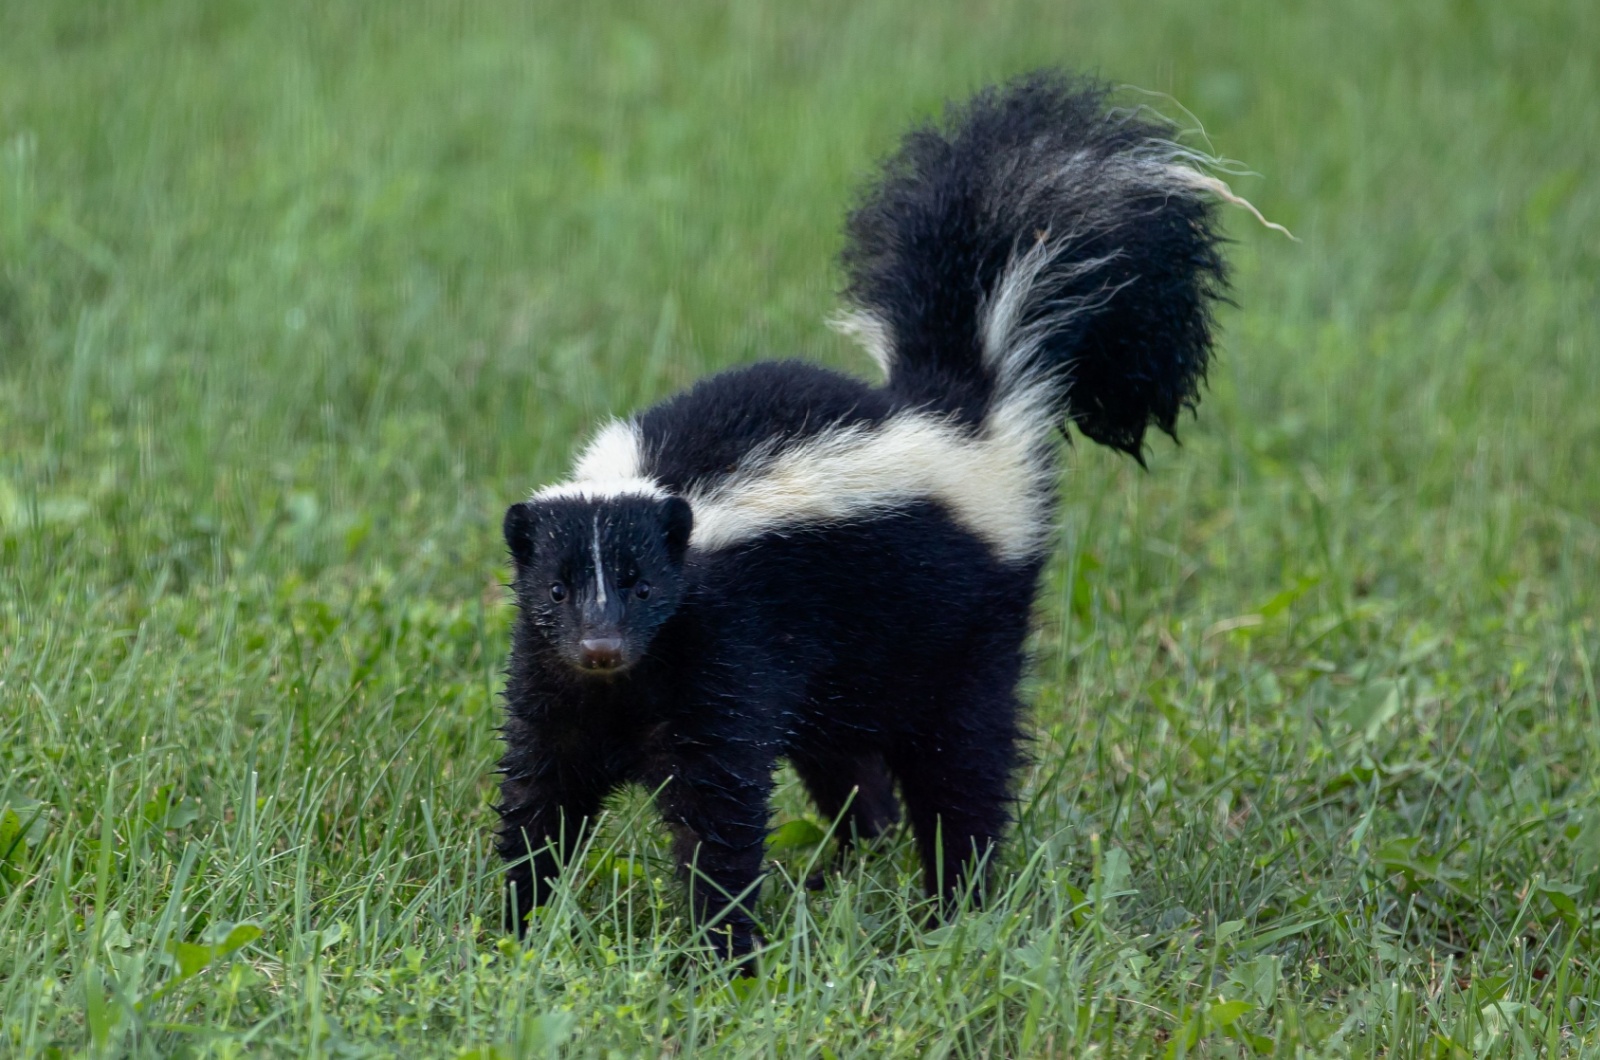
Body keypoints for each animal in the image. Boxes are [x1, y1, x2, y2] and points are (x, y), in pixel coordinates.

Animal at [499, 70, 1235, 960]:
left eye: (644, 587)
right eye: (558, 590)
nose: (602, 646)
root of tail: (965, 411)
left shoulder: (720, 652)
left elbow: (718, 807)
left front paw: (721, 951)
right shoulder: (555, 679)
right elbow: (542, 790)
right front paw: (515, 924)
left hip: (956, 629)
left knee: (962, 763)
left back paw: (956, 900)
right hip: (853, 655)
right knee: (850, 764)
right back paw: (853, 862)